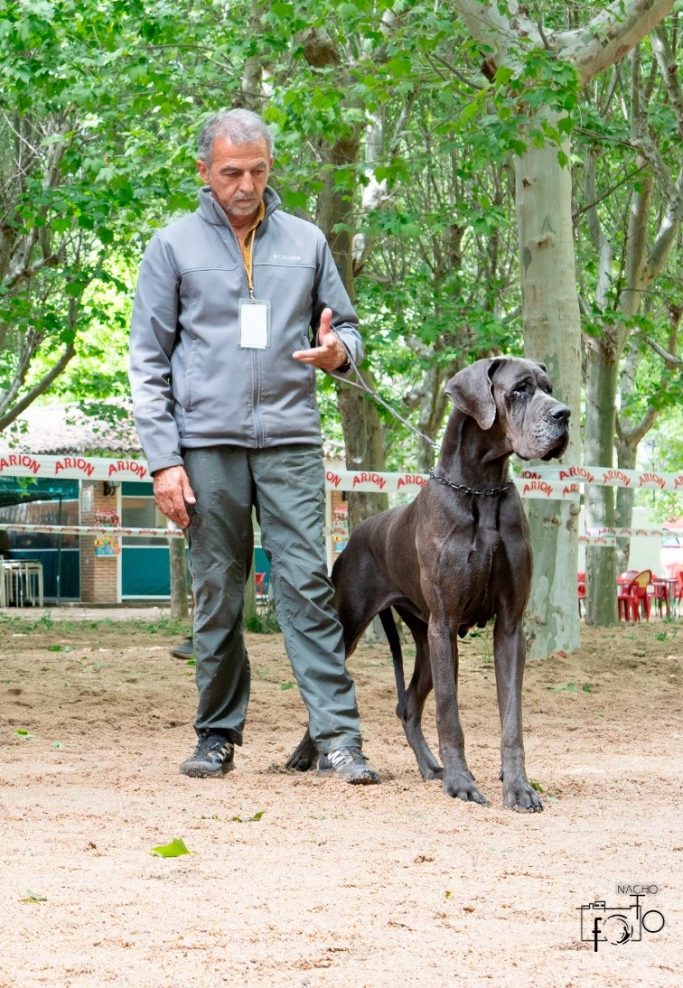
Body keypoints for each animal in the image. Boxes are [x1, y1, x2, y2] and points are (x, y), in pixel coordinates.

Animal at [288, 356, 572, 812]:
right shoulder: (445, 623)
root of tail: (357, 533)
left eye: (549, 387)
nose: (564, 415)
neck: (481, 487)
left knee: (407, 708)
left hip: (424, 640)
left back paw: (429, 767)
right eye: (520, 389)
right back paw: (307, 756)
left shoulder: (509, 626)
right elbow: (448, 714)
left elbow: (511, 720)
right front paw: (461, 783)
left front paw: (518, 787)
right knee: (329, 688)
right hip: (356, 626)